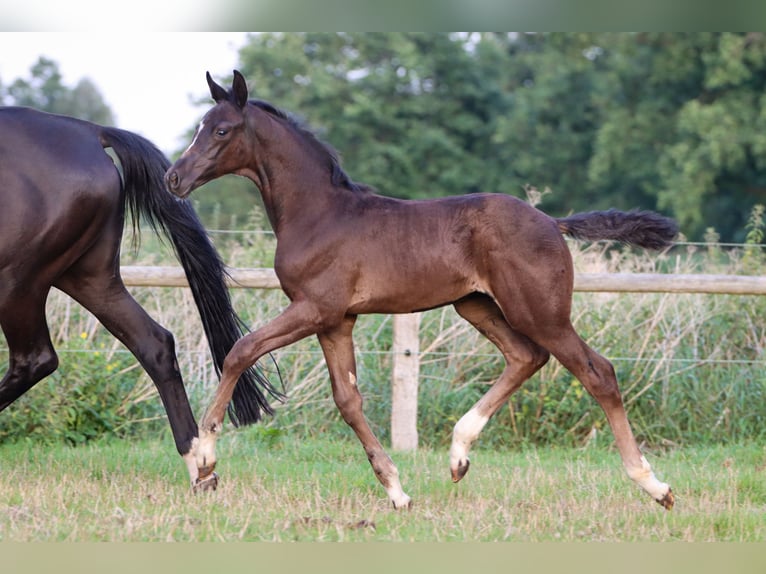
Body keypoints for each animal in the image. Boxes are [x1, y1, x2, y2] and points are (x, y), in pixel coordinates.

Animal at [0, 106, 282, 488]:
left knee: (34, 359)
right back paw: (199, 466)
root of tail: (91, 133)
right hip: (88, 278)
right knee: (155, 343)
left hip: (20, 281)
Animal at [166, 73, 680, 512]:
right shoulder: (337, 320)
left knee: (598, 372)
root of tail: (553, 223)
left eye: (221, 130)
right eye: (201, 126)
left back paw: (654, 485)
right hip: (476, 304)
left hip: (539, 312)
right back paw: (458, 455)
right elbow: (347, 400)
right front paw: (397, 492)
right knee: (525, 356)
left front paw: (205, 458)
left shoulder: (314, 308)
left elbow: (241, 350)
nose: (174, 178)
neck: (319, 214)